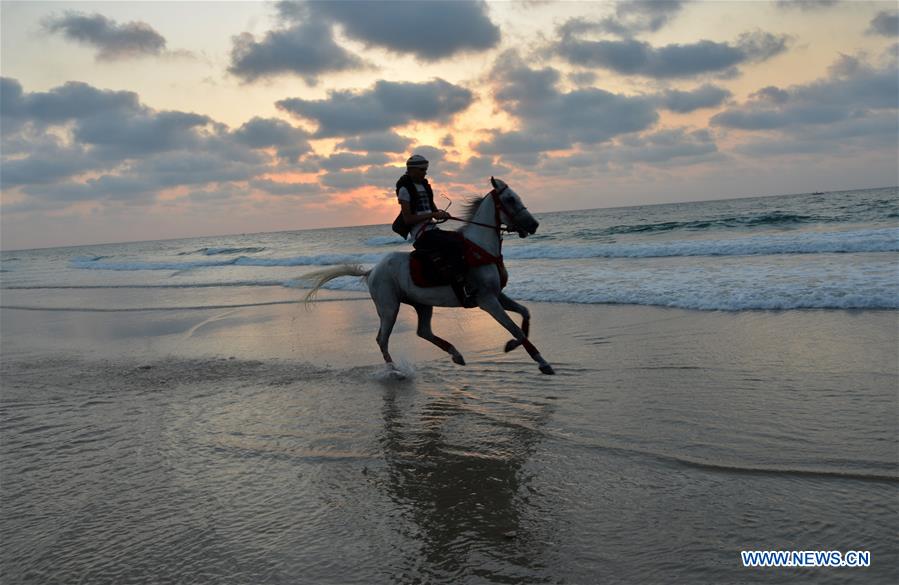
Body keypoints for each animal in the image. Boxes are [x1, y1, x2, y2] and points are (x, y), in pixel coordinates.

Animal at [306, 176, 552, 374]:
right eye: (510, 199)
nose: (534, 225)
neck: (482, 249)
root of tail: (372, 270)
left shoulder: (497, 295)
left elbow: (525, 314)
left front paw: (513, 346)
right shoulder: (487, 300)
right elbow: (515, 328)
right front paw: (542, 362)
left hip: (422, 304)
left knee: (423, 331)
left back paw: (456, 354)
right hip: (388, 307)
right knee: (382, 339)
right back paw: (394, 370)